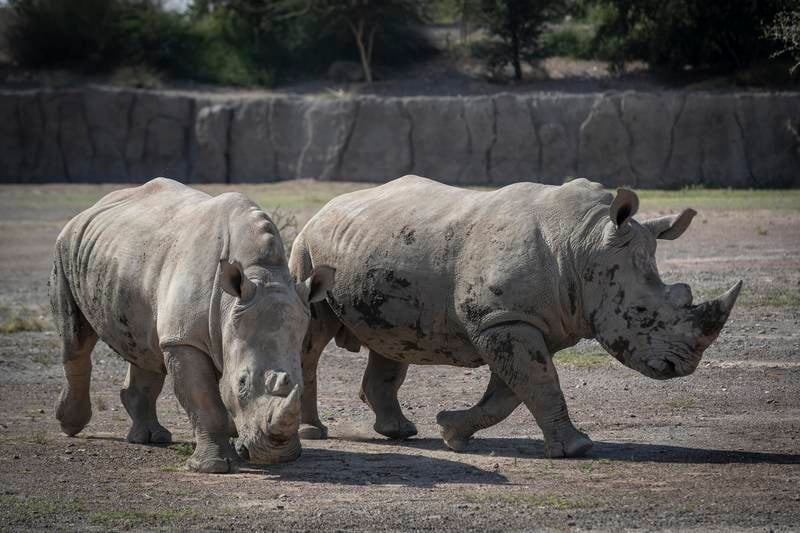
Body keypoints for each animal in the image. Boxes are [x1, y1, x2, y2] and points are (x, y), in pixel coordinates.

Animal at [51, 177, 334, 472]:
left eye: (299, 386)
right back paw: (70, 425)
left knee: (147, 347)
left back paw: (152, 438)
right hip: (66, 247)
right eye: (242, 383)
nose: (275, 455)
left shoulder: (208, 331)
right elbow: (204, 400)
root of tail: (90, 208)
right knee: (76, 339)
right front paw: (213, 466)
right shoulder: (184, 339)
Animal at [290, 176, 740, 458]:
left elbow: (512, 391)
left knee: (391, 342)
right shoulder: (504, 319)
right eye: (642, 314)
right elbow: (540, 384)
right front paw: (578, 449)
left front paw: (451, 430)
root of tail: (325, 208)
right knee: (312, 339)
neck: (585, 244)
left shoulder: (521, 320)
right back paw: (313, 432)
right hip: (308, 251)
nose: (682, 367)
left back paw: (400, 431)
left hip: (376, 249)